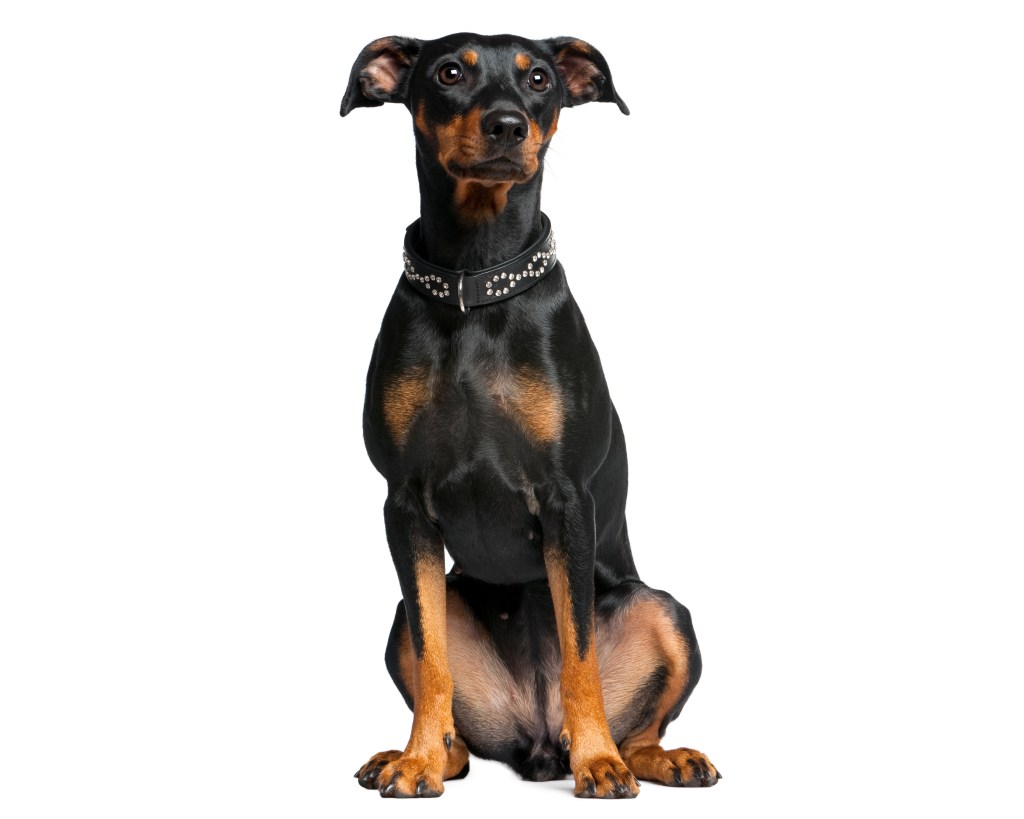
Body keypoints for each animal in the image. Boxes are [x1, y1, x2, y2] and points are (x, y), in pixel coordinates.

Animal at [339, 35, 716, 798]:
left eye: (539, 78)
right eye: (450, 71)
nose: (508, 125)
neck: (475, 287)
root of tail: (536, 744)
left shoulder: (566, 498)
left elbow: (578, 653)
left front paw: (597, 763)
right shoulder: (404, 503)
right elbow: (432, 658)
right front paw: (417, 763)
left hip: (662, 608)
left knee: (641, 727)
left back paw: (649, 757)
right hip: (410, 616)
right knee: (443, 691)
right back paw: (426, 754)